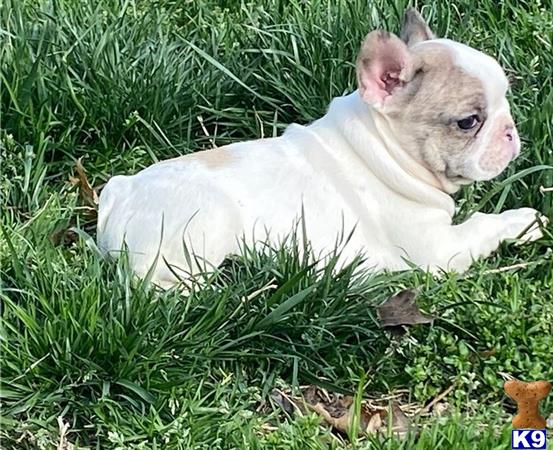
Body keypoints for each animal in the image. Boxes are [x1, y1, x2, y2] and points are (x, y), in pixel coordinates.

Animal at [97, 8, 540, 286]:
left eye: (505, 99)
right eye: (468, 122)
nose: (509, 131)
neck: (381, 150)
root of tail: (120, 193)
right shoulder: (438, 249)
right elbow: (483, 224)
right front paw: (523, 221)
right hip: (203, 230)